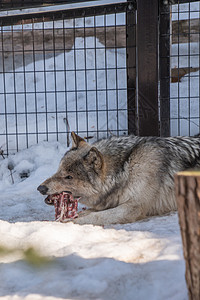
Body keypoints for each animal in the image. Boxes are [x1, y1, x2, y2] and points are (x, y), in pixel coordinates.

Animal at [37, 132, 200, 225]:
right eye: (59, 170)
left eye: (69, 177)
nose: (40, 188)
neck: (126, 168)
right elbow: (88, 212)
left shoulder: (132, 208)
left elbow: (95, 217)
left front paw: (67, 222)